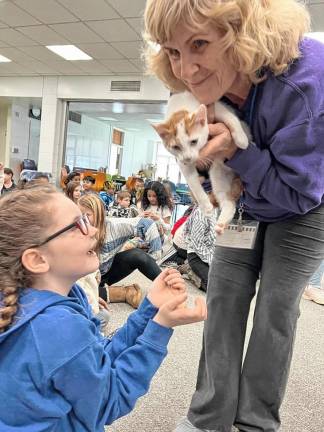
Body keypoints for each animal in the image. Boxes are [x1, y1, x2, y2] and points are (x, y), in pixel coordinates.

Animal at [153, 90, 249, 233]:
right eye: (176, 147)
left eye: (194, 141)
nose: (188, 158)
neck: (181, 105)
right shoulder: (182, 162)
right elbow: (192, 182)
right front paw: (206, 206)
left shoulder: (217, 107)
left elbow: (230, 118)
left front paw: (242, 139)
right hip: (219, 174)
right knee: (227, 201)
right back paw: (221, 223)